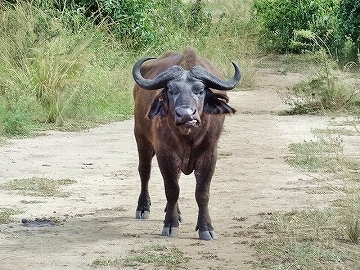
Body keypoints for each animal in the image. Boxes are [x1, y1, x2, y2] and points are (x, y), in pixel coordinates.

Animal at [132, 47, 242, 239]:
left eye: (200, 90)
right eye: (171, 90)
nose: (186, 115)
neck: (188, 137)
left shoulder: (209, 154)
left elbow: (202, 193)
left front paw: (206, 228)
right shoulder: (164, 153)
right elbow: (172, 190)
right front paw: (170, 224)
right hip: (141, 138)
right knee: (144, 172)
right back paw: (143, 208)